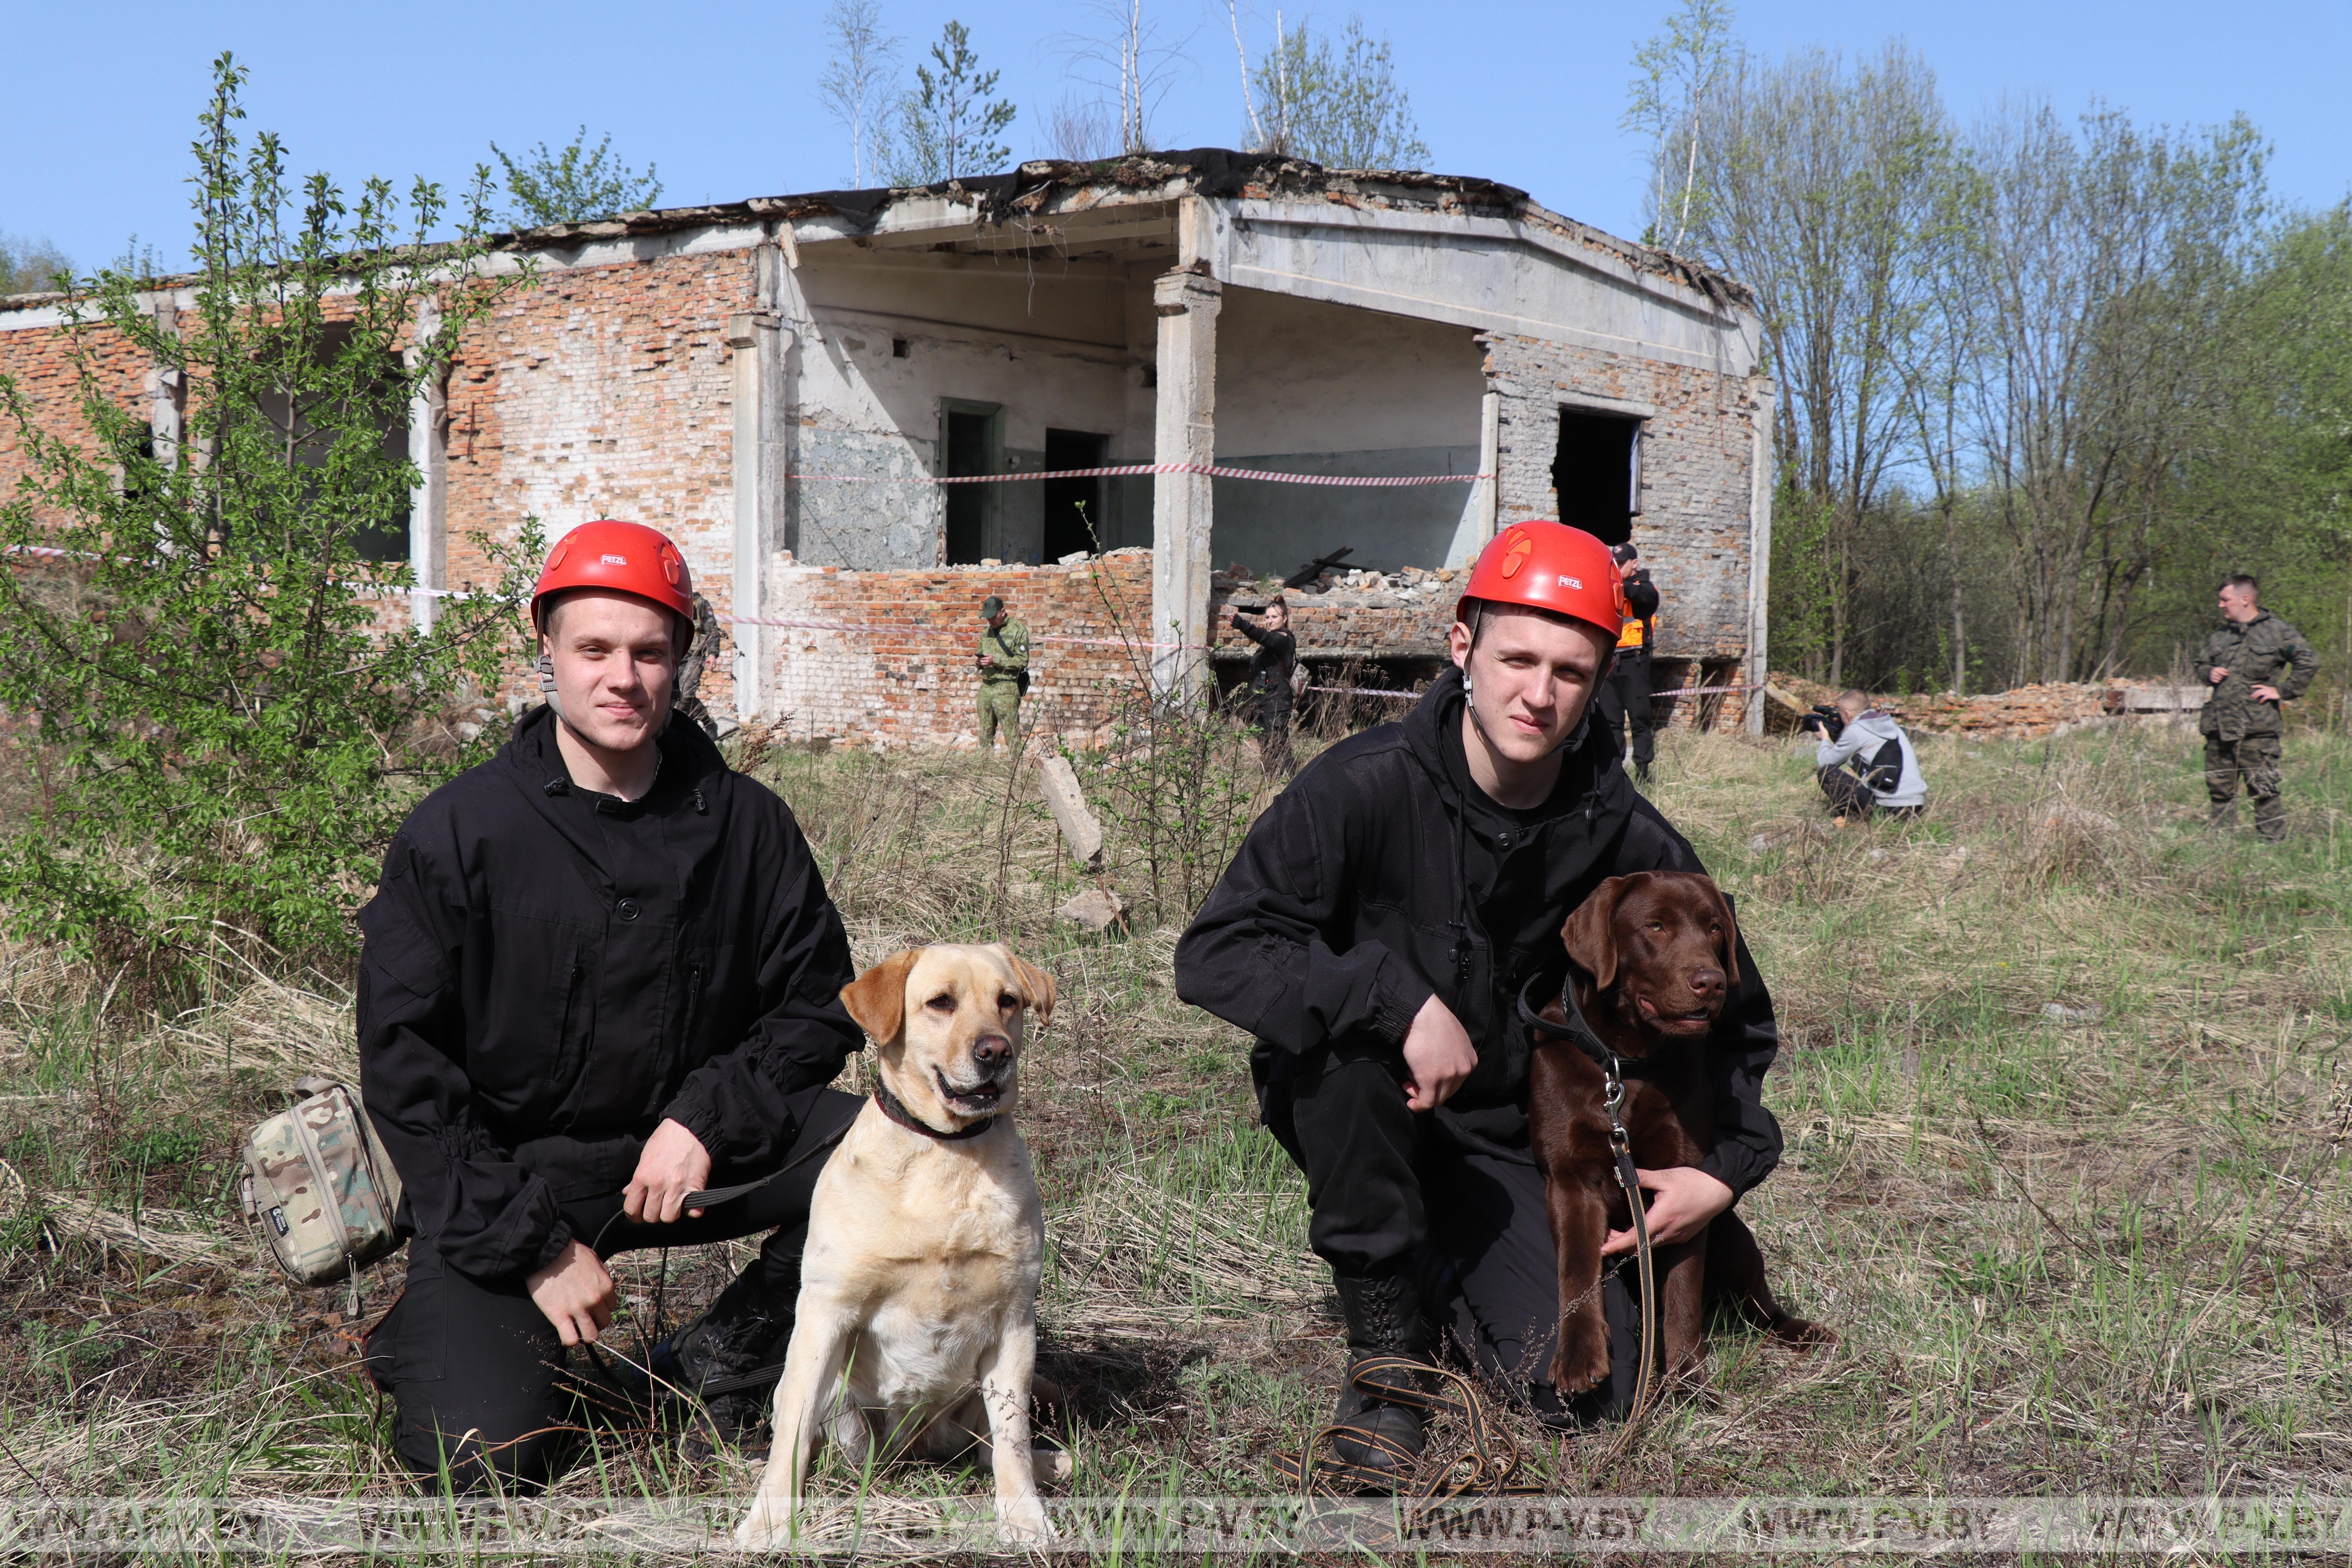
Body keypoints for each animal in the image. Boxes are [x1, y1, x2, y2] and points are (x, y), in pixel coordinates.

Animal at [734, 945, 1068, 1542]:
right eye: (940, 1002)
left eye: (1008, 1001)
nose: (996, 1052)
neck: (945, 1153)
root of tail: (910, 1448)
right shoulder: (826, 1312)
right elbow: (791, 1436)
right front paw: (770, 1521)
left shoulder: (1014, 1322)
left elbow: (1012, 1438)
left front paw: (1025, 1520)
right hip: (827, 1395)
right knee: (806, 1435)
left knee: (994, 1448)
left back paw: (1048, 1463)